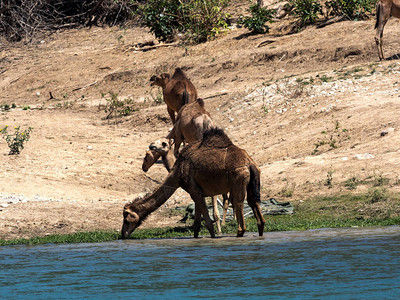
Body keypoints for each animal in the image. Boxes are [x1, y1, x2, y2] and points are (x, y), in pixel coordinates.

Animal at [122, 128, 266, 239]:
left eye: (126, 217)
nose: (123, 234)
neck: (177, 172)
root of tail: (250, 164)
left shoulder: (194, 190)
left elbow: (207, 222)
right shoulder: (197, 191)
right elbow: (197, 224)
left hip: (238, 181)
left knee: (239, 205)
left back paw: (239, 232)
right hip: (252, 183)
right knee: (255, 206)